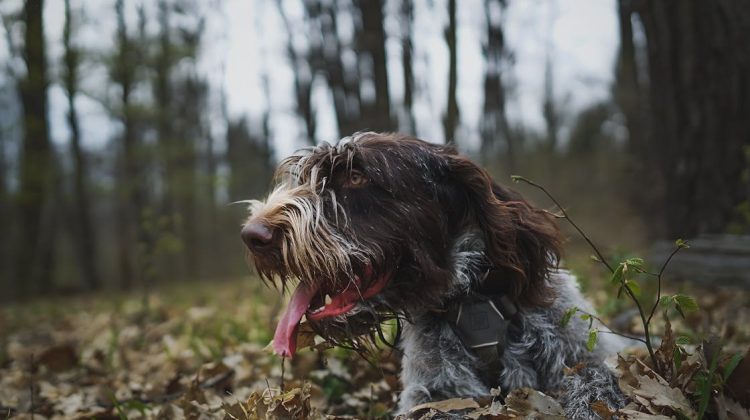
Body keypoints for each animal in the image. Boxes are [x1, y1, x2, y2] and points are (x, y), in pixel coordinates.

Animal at [242, 133, 628, 418]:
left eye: (356, 176)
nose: (253, 235)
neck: (476, 302)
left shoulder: (581, 354)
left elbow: (595, 379)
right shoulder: (434, 393)